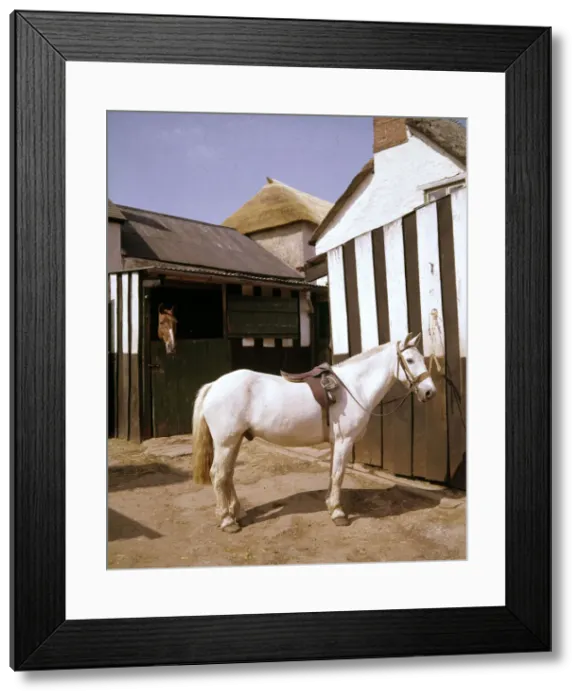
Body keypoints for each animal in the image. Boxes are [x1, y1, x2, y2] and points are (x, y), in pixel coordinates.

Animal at [190, 332, 436, 533]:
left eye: (422, 359)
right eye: (410, 360)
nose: (430, 392)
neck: (354, 387)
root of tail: (214, 385)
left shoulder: (336, 442)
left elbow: (332, 474)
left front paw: (330, 505)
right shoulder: (345, 441)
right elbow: (338, 475)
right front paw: (338, 513)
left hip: (235, 441)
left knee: (228, 474)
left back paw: (237, 512)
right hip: (226, 442)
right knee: (218, 475)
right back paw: (227, 520)